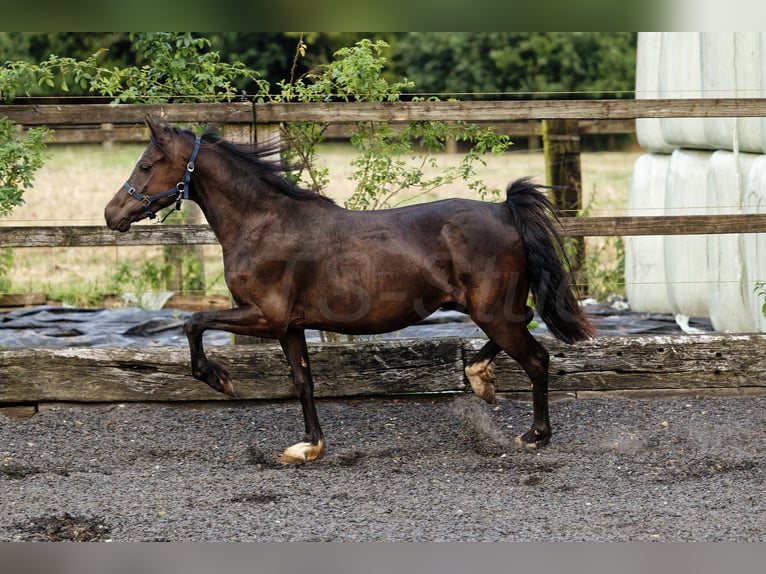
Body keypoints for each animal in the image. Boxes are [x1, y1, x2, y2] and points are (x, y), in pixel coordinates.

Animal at [103, 116, 592, 464]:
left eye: (145, 165)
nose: (112, 214)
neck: (263, 223)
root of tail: (505, 210)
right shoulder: (289, 326)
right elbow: (303, 382)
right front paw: (308, 447)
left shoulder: (265, 315)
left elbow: (193, 322)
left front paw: (218, 379)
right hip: (491, 308)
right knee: (525, 329)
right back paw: (479, 378)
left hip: (491, 310)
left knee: (536, 358)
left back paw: (534, 435)